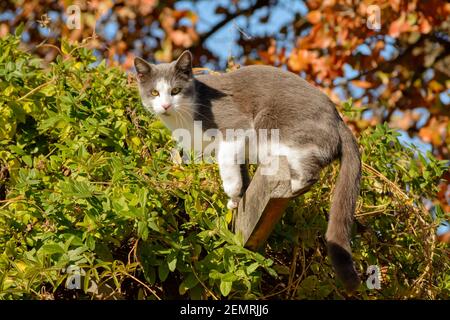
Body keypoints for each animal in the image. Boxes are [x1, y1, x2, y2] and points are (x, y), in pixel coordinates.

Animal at [134, 51, 362, 292]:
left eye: (176, 90)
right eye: (154, 92)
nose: (166, 105)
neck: (183, 118)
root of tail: (339, 119)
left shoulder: (235, 123)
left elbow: (226, 158)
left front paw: (232, 190)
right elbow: (240, 169)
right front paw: (237, 199)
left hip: (271, 123)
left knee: (308, 169)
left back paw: (296, 181)